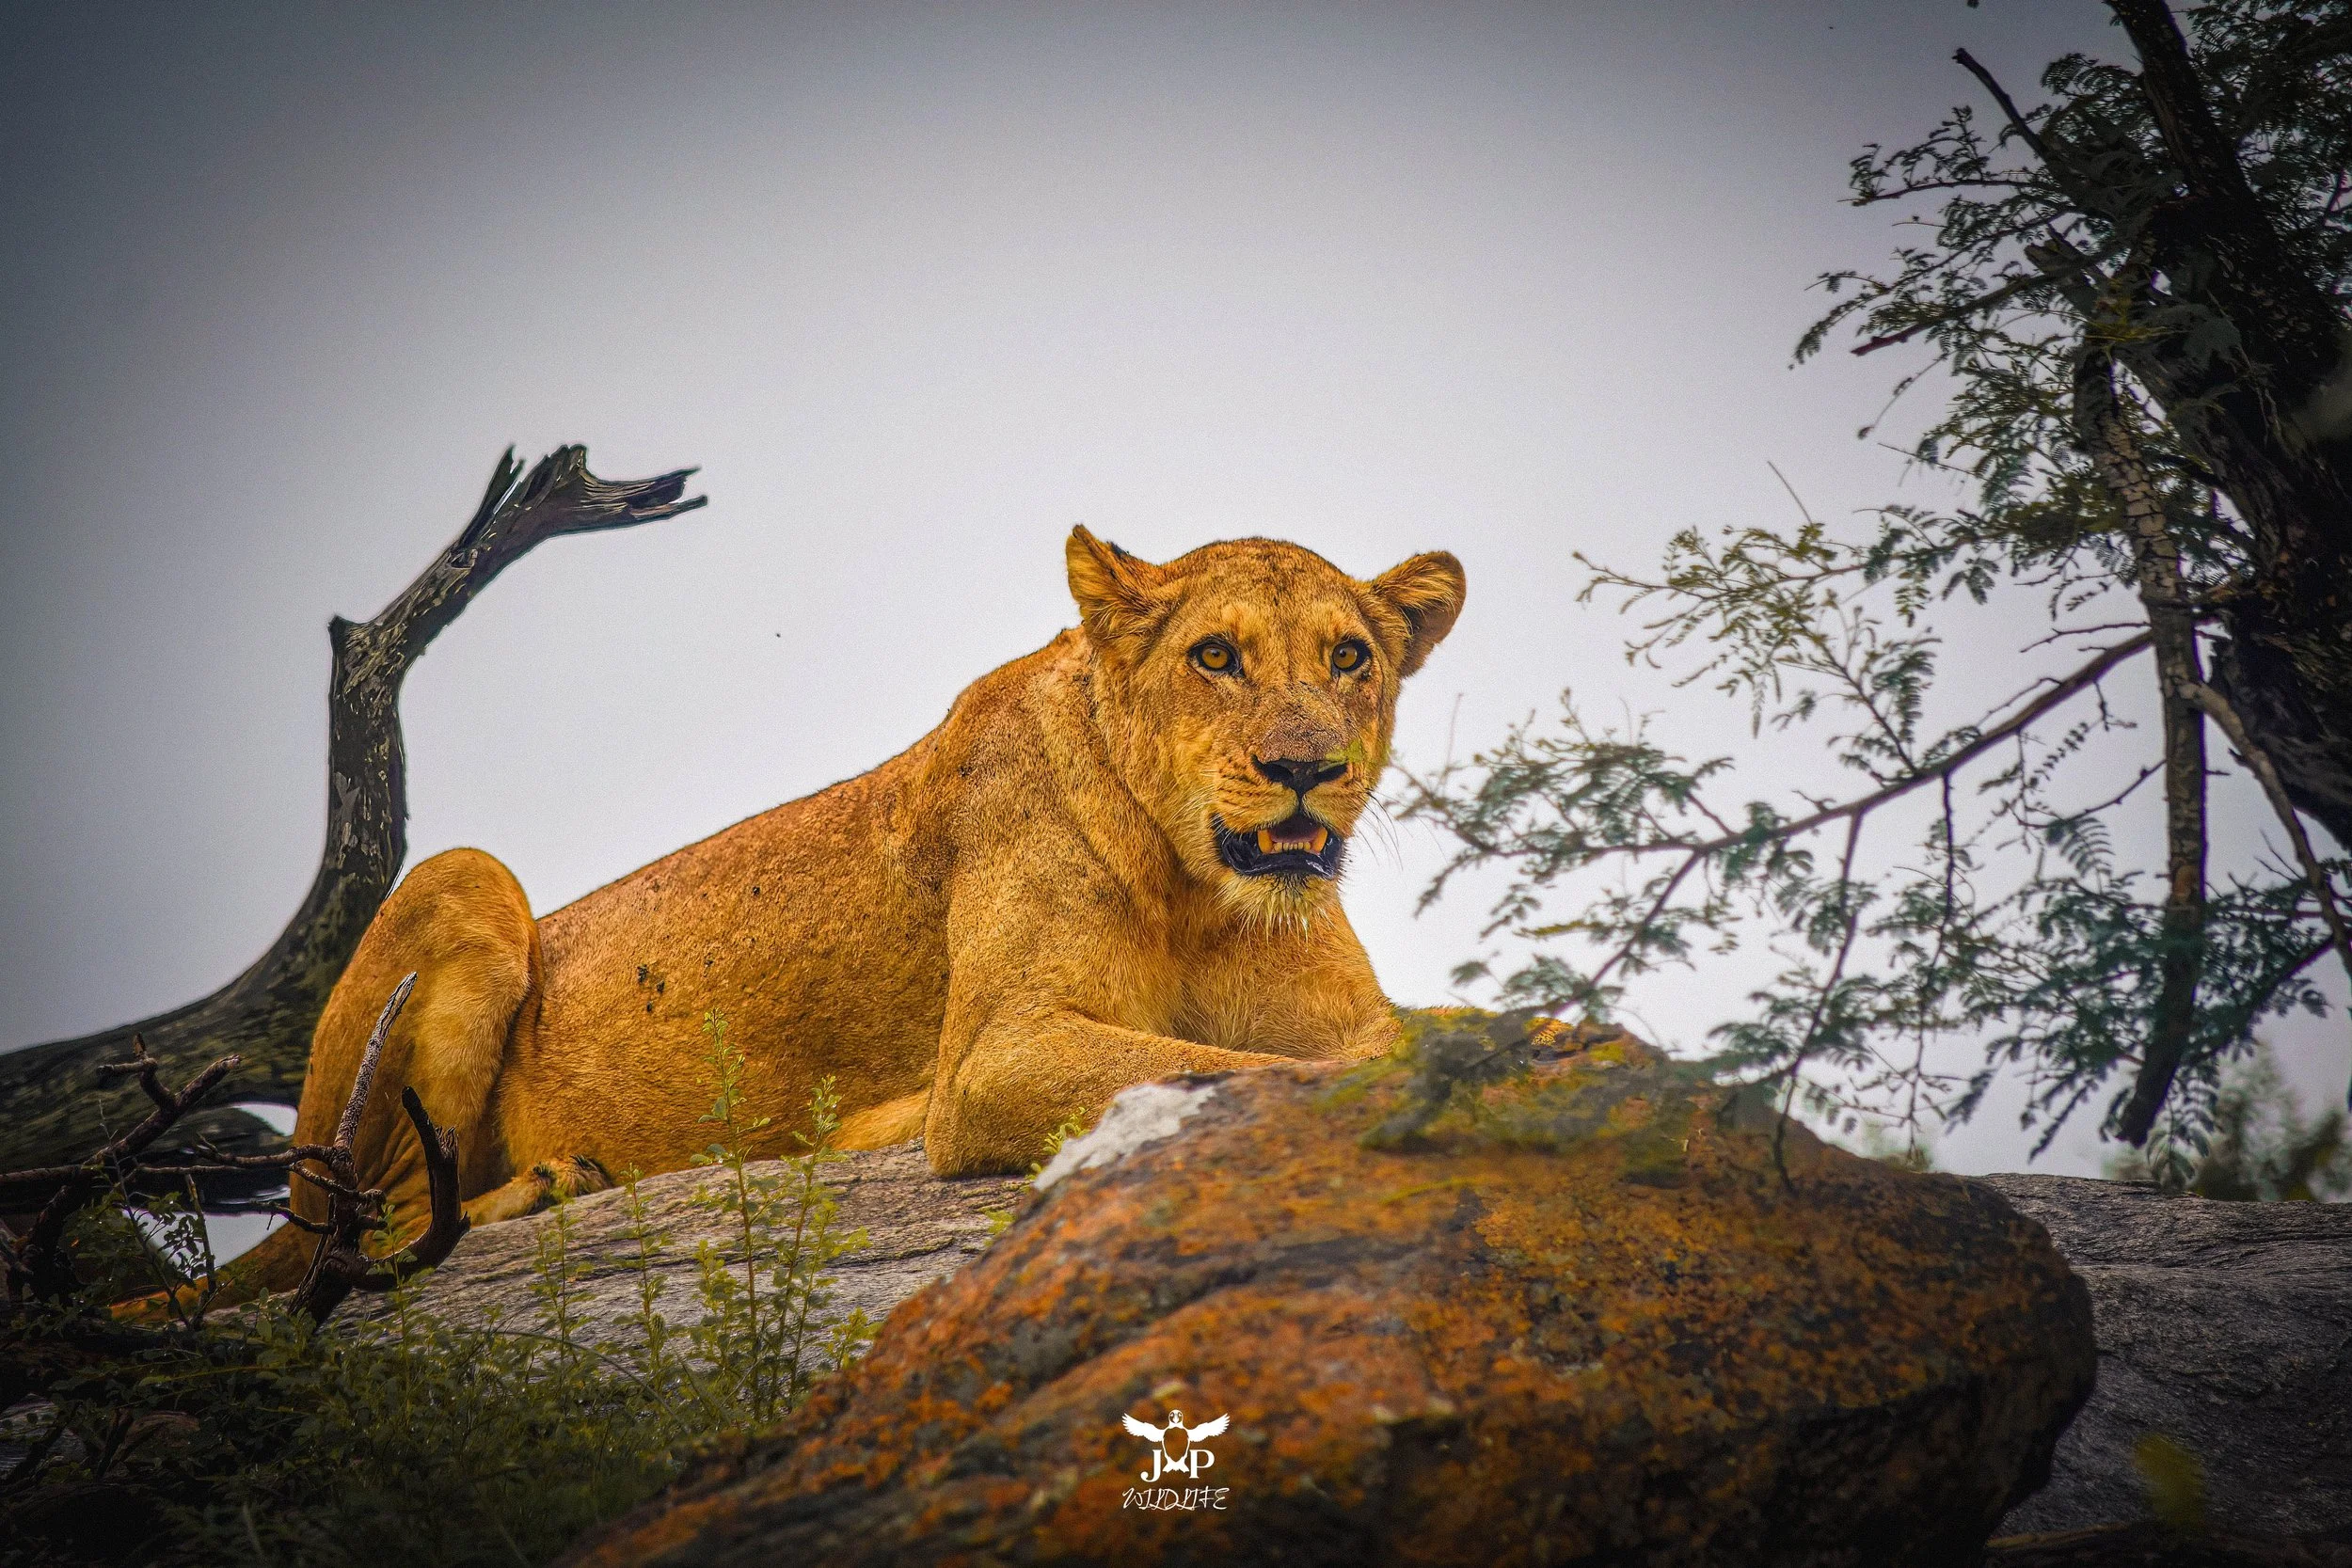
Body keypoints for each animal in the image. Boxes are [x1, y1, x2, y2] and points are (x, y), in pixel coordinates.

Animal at [230, 527, 1465, 1292]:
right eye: (1215, 654)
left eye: (1348, 656)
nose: (1306, 767)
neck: (1202, 891)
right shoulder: (997, 1057)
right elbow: (1250, 1070)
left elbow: (1365, 1041)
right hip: (463, 874)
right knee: (368, 1232)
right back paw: (543, 1185)